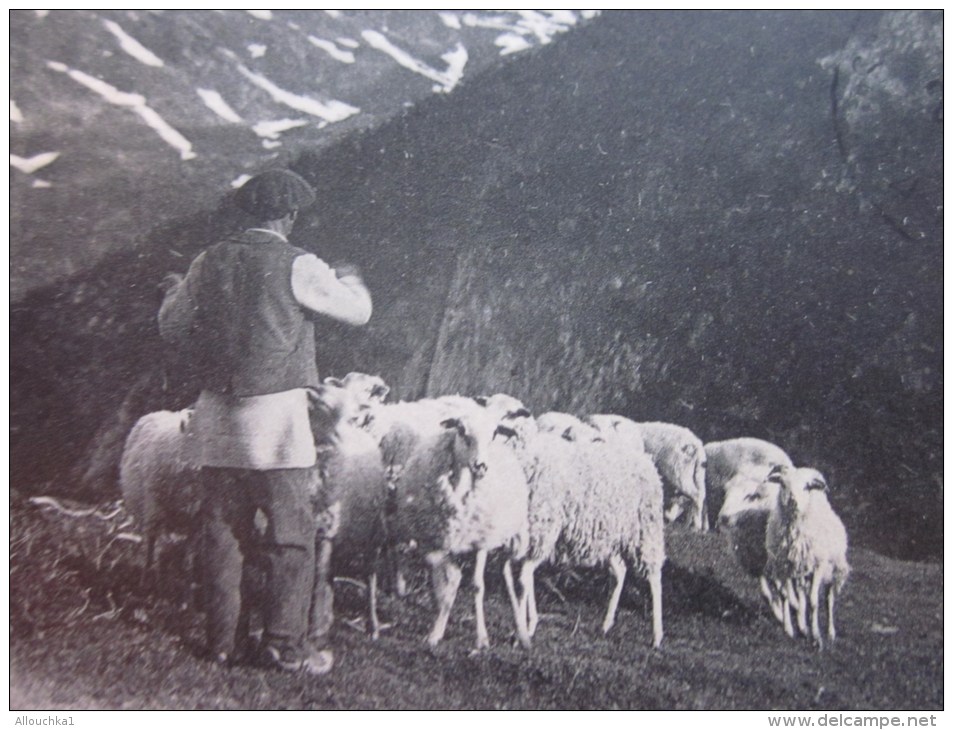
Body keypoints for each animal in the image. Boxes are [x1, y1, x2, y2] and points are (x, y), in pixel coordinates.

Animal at [506, 412, 660, 644]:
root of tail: (647, 462)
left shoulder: (543, 528)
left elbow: (524, 577)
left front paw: (523, 631)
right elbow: (524, 575)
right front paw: (529, 625)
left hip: (646, 528)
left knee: (654, 576)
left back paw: (657, 634)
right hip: (608, 534)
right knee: (620, 571)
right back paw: (606, 624)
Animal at [760, 464, 848, 644]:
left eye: (806, 486)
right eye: (783, 484)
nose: (793, 501)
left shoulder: (819, 566)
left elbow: (814, 602)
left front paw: (816, 636)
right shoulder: (783, 566)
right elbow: (785, 595)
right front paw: (789, 629)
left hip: (835, 571)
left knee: (829, 601)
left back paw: (830, 632)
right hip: (801, 572)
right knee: (802, 596)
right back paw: (803, 624)